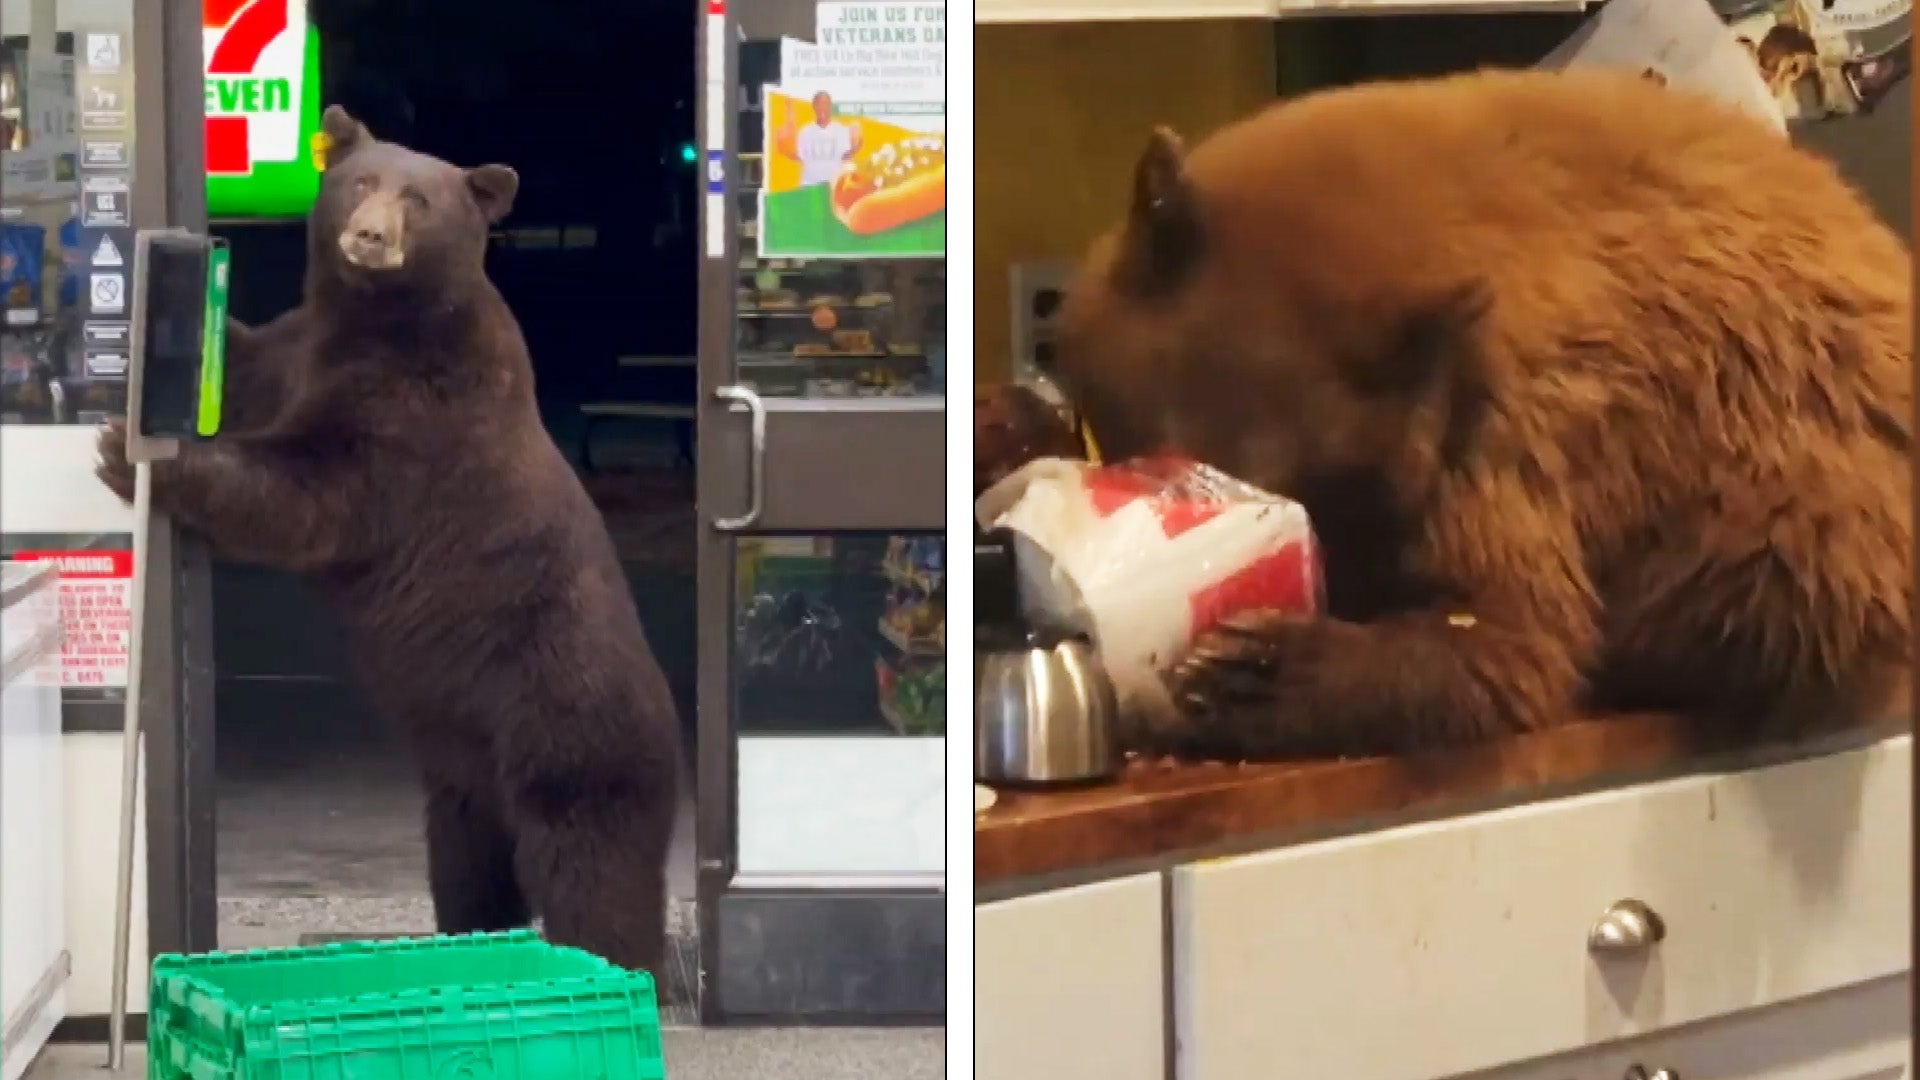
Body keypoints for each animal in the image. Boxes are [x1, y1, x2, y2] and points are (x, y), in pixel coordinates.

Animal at [99, 105, 683, 972]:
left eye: (421, 200)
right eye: (361, 181)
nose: (370, 236)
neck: (377, 321)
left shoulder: (416, 420)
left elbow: (312, 493)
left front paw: (137, 455)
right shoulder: (298, 349)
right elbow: (247, 363)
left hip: (573, 737)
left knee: (595, 878)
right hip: (464, 788)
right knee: (470, 872)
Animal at [1059, 69, 1912, 757]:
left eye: (1289, 480)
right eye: (1159, 455)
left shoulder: (1501, 428)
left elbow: (1512, 639)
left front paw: (1252, 668)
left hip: (1805, 487)